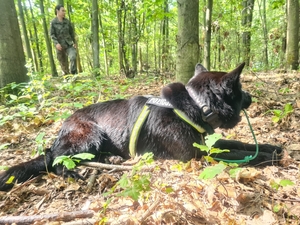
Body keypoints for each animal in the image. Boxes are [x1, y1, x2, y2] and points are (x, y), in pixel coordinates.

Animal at [0, 63, 282, 192]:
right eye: (241, 90)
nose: (252, 97)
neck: (194, 104)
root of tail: (62, 129)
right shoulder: (197, 155)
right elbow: (236, 154)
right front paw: (270, 157)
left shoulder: (206, 143)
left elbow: (237, 144)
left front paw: (272, 147)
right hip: (87, 134)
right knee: (56, 160)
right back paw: (71, 172)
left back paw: (112, 159)